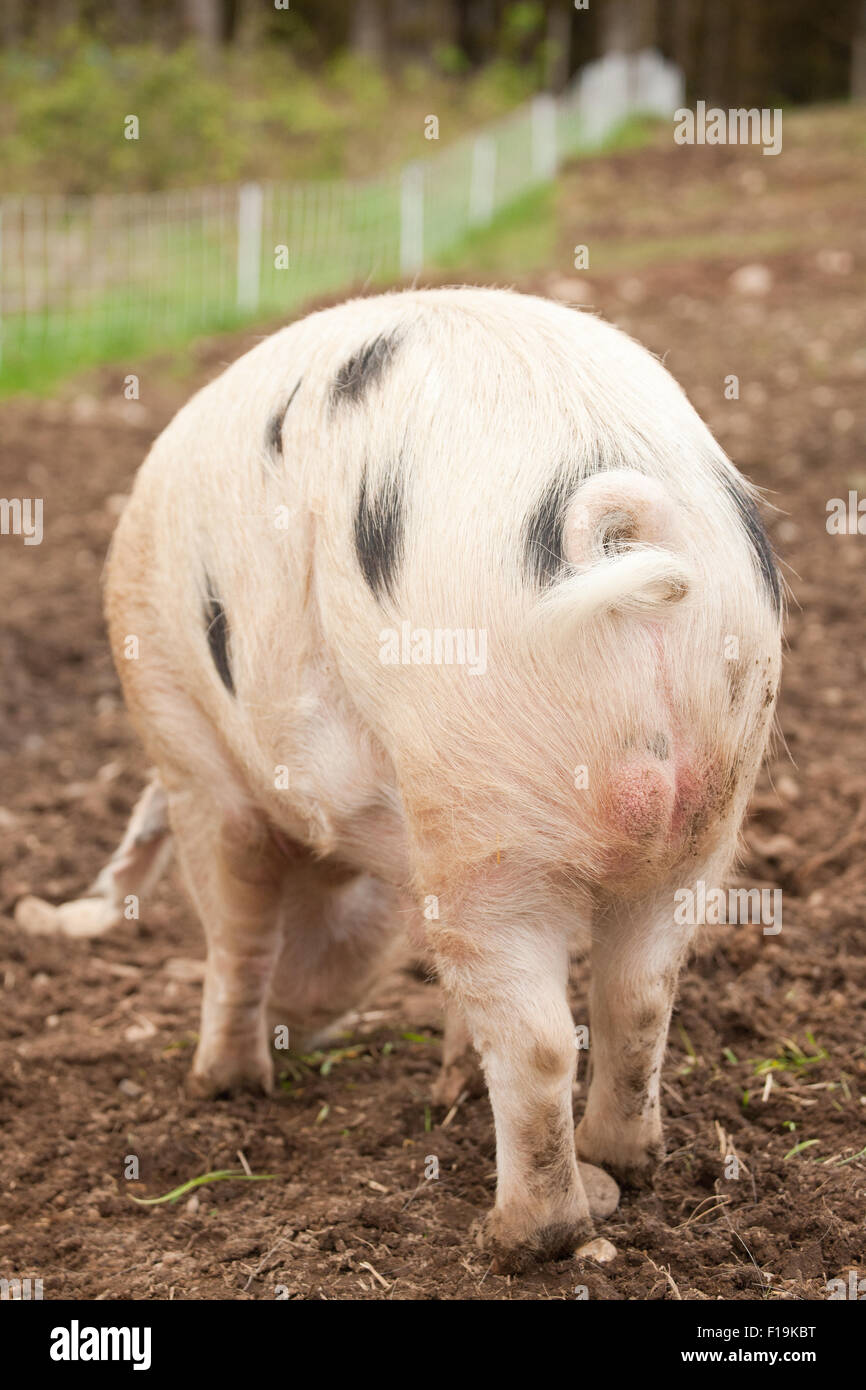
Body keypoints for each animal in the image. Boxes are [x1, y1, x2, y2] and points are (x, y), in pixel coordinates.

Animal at [33, 290, 783, 1273]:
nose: (305, 1014)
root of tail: (624, 517)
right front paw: (447, 1087)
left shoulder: (191, 757)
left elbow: (236, 928)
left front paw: (221, 1086)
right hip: (708, 809)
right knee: (639, 994)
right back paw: (622, 1165)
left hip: (483, 806)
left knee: (542, 1042)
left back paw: (517, 1236)